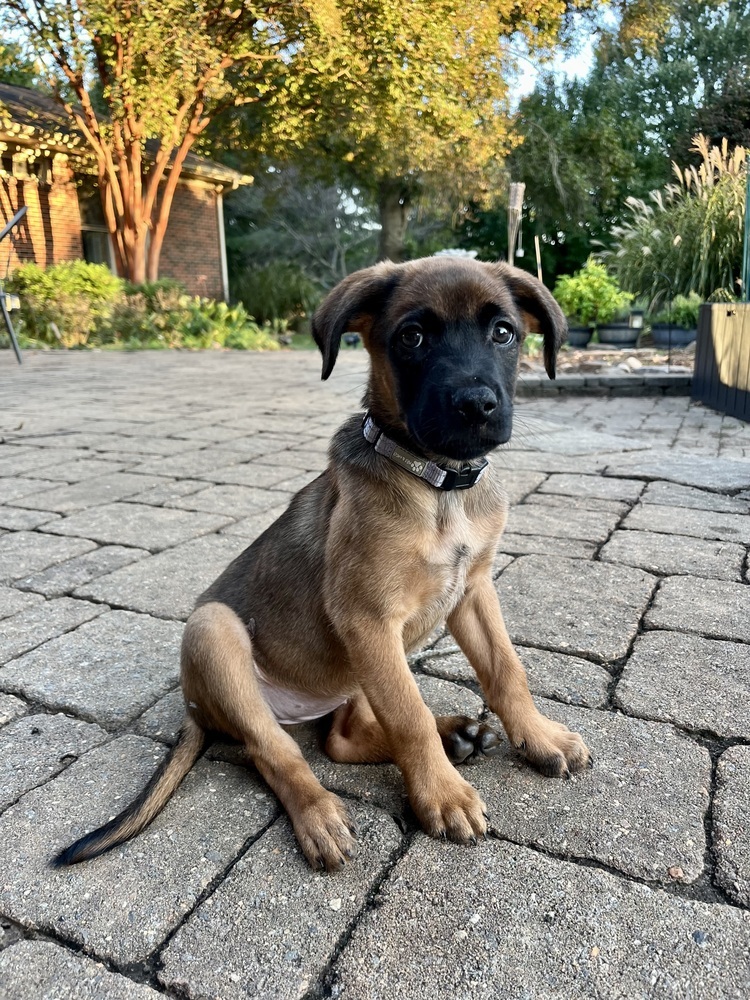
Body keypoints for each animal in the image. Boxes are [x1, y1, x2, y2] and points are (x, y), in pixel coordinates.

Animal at [54, 254, 592, 872]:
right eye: (412, 337)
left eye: (503, 332)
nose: (476, 405)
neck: (437, 485)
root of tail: (196, 710)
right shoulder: (367, 617)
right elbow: (407, 718)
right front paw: (443, 794)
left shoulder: (472, 590)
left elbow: (506, 670)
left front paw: (539, 738)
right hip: (214, 632)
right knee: (276, 749)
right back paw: (321, 814)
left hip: (356, 674)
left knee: (342, 737)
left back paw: (458, 735)